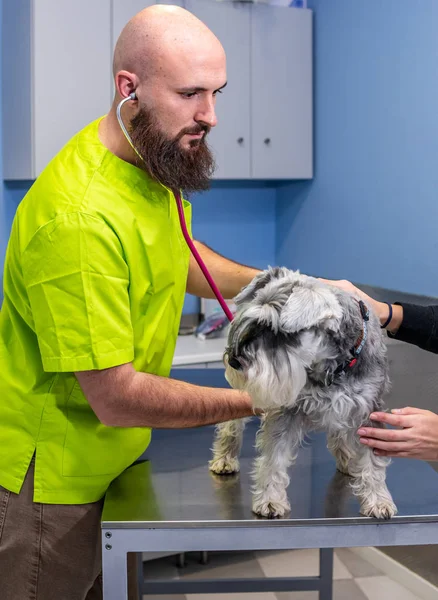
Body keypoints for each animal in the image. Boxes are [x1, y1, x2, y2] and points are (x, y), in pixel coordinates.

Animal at [210, 268, 398, 520]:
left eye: (276, 331)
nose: (233, 360)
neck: (328, 366)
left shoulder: (368, 411)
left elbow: (372, 459)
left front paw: (378, 500)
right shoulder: (286, 412)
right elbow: (274, 458)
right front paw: (270, 500)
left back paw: (348, 460)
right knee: (231, 425)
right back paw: (224, 458)